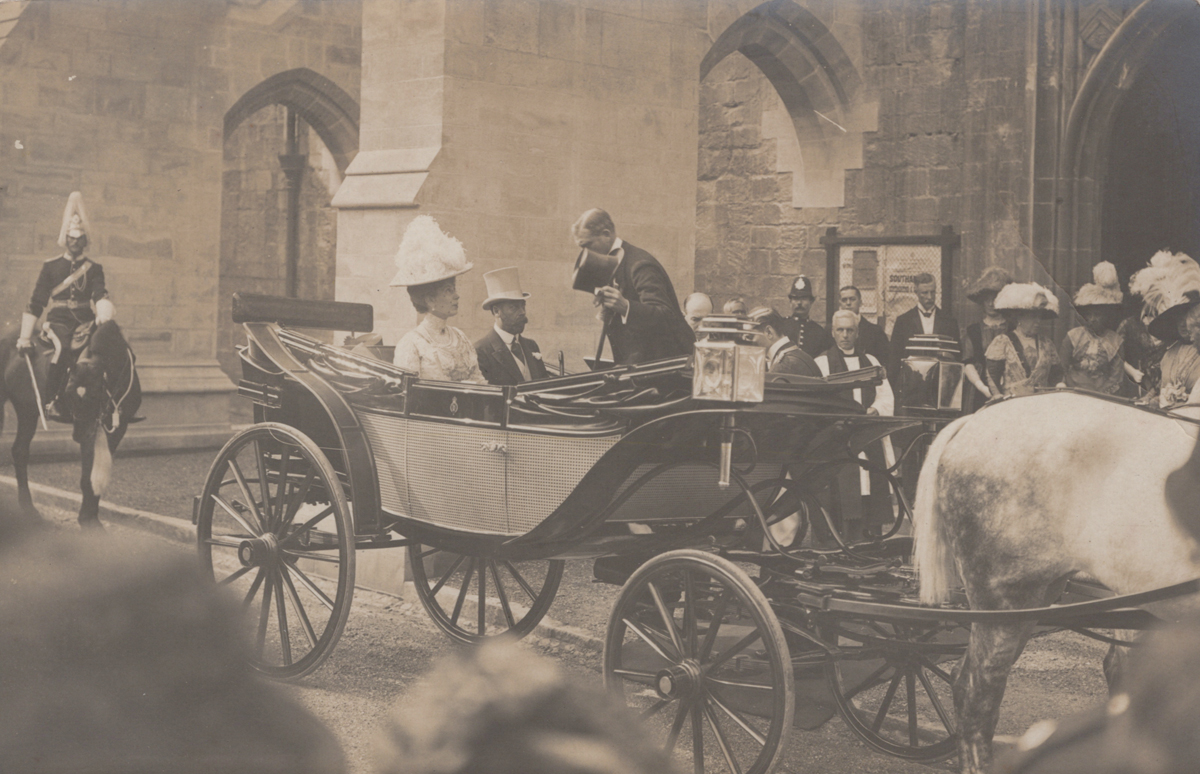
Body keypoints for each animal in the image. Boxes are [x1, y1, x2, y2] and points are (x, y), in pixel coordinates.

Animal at [0, 320, 141, 529]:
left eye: (96, 395)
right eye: (68, 393)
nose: (79, 436)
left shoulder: (117, 428)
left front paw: (90, 517)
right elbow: (87, 477)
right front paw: (87, 520)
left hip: (27, 410)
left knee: (20, 451)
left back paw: (28, 508)